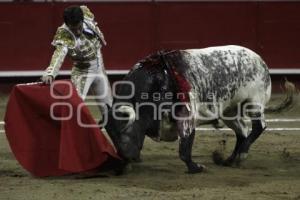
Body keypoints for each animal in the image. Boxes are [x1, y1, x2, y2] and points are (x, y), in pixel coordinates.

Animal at [105, 45, 272, 173]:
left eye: (125, 132)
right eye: (111, 136)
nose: (126, 159)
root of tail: (259, 60)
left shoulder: (186, 117)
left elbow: (185, 148)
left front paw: (196, 167)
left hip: (254, 103)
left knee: (259, 126)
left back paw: (242, 154)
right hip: (229, 112)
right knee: (242, 132)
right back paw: (230, 160)